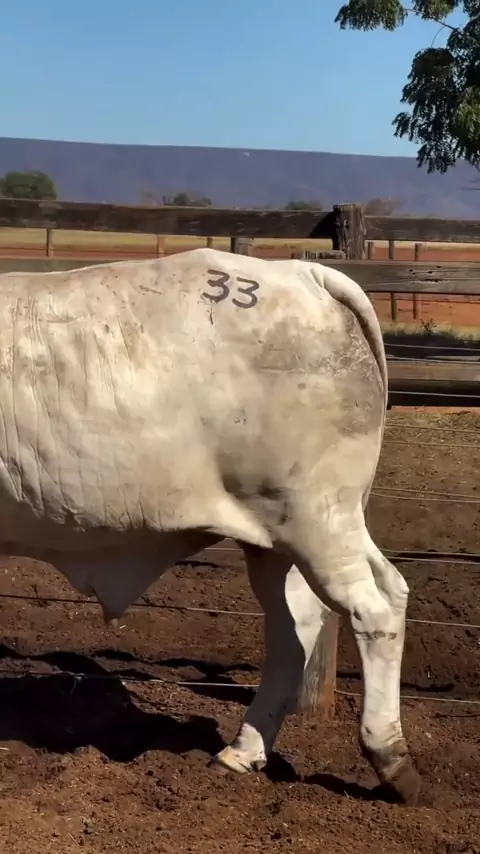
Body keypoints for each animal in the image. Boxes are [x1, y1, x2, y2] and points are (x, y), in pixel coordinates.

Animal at [0, 247, 420, 804]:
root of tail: (304, 273)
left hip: (320, 520)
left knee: (373, 610)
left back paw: (390, 758)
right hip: (285, 536)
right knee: (305, 626)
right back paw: (243, 751)